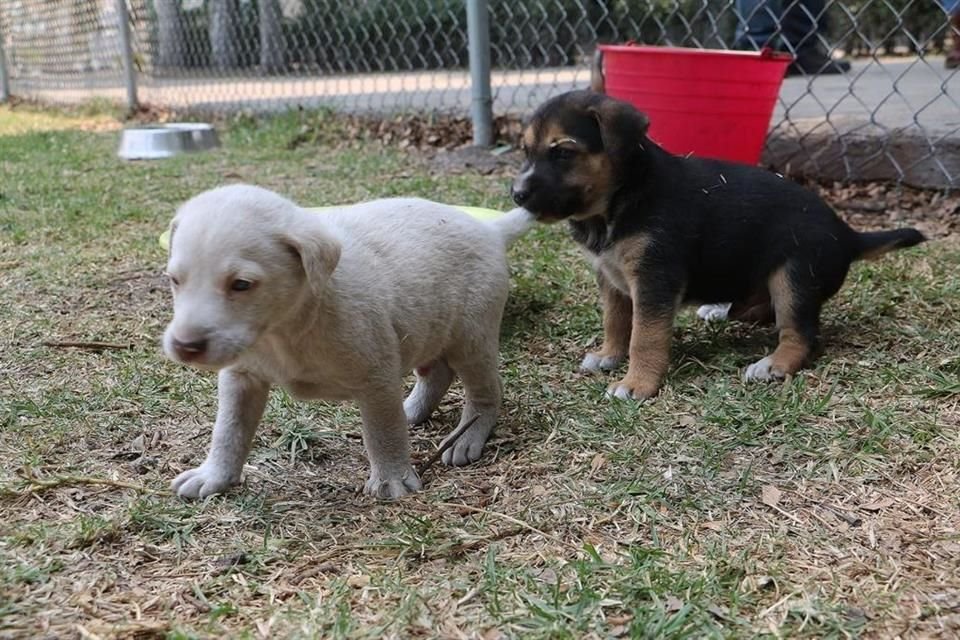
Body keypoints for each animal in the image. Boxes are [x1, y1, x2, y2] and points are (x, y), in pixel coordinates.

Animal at [164, 185, 532, 500]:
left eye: (241, 284)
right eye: (174, 280)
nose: (185, 345)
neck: (285, 329)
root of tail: (489, 230)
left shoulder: (377, 377)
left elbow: (383, 431)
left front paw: (392, 479)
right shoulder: (241, 378)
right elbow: (229, 431)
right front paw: (214, 475)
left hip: (472, 339)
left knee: (486, 391)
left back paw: (468, 435)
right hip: (429, 328)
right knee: (437, 373)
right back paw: (412, 410)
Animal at [512, 90, 928, 400]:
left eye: (563, 152)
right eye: (526, 152)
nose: (515, 194)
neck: (618, 201)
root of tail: (846, 233)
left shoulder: (654, 278)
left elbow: (644, 336)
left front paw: (636, 384)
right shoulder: (611, 276)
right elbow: (616, 321)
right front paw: (608, 355)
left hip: (794, 275)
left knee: (800, 333)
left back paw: (773, 364)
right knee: (764, 310)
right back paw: (725, 311)